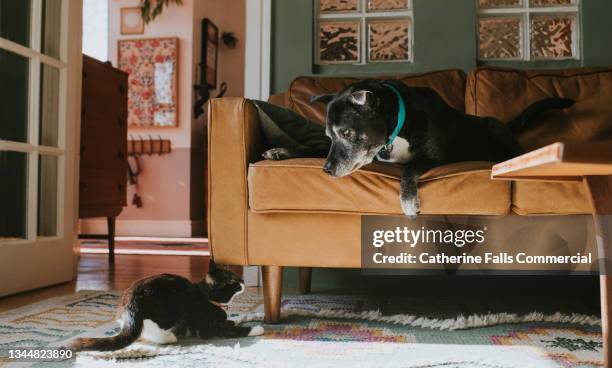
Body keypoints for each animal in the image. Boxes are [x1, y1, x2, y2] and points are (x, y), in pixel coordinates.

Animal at [69, 258, 262, 350]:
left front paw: (254, 315)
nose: (243, 280)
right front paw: (258, 329)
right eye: (233, 281)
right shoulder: (208, 328)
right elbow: (233, 329)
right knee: (149, 331)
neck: (208, 297)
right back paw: (170, 336)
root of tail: (131, 302)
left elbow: (236, 319)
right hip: (171, 307)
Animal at [266, 77, 572, 216]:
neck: (398, 126)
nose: (327, 171)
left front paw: (409, 201)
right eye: (330, 135)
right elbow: (313, 148)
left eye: (347, 132)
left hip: (495, 128)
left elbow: (409, 168)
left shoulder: (434, 157)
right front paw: (282, 151)